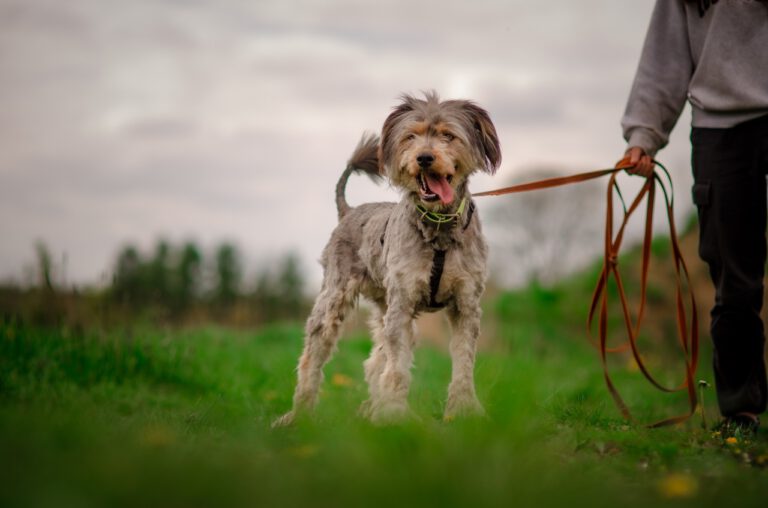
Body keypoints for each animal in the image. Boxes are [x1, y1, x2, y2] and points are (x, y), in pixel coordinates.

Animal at [272, 91, 500, 424]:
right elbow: (397, 369)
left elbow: (463, 363)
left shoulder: (466, 303)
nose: (424, 157)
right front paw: (394, 416)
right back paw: (298, 414)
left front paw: (463, 411)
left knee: (374, 361)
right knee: (313, 355)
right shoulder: (402, 303)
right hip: (335, 298)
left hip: (382, 306)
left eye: (448, 135)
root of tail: (348, 210)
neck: (438, 229)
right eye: (411, 136)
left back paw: (369, 409)